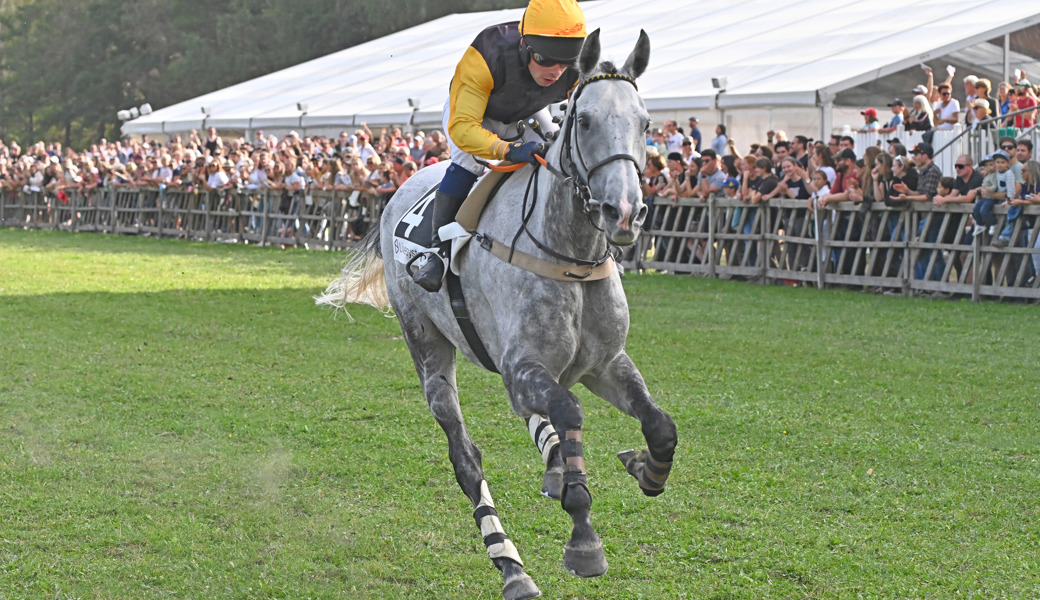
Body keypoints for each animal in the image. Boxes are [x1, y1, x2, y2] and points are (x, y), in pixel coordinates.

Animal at [316, 30, 673, 598]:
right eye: (585, 121)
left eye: (645, 123)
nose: (623, 212)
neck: (568, 254)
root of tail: (398, 191)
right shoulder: (524, 364)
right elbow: (569, 412)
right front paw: (583, 538)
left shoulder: (605, 363)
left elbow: (660, 426)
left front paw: (644, 467)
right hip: (428, 346)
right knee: (467, 457)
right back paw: (512, 565)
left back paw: (553, 463)